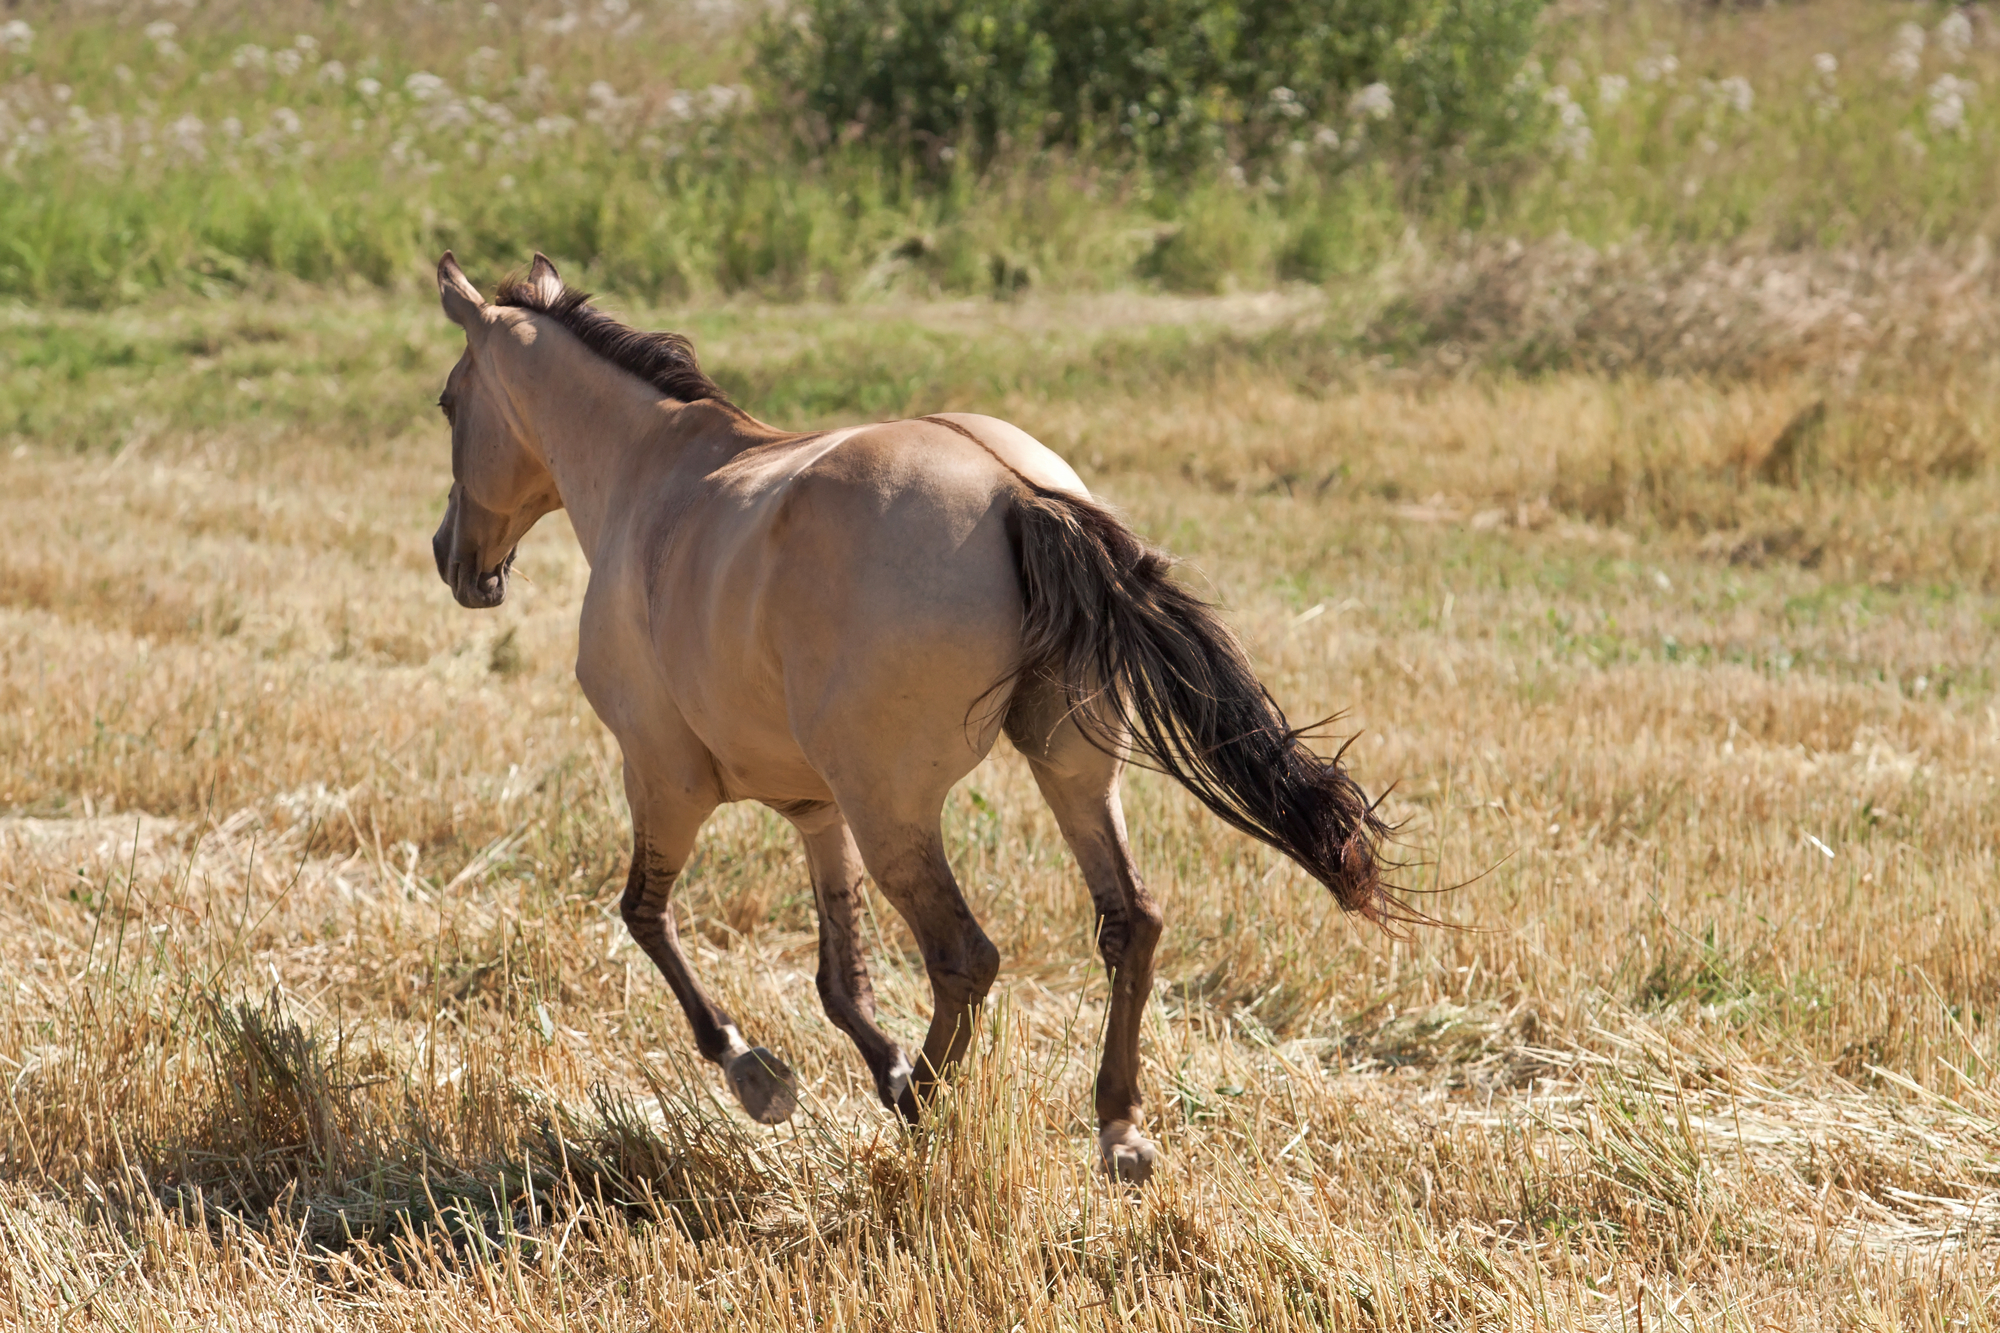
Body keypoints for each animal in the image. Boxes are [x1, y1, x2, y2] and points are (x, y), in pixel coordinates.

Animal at [429, 251, 1399, 1182]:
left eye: (447, 403)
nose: (452, 559)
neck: (651, 480)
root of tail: (1016, 492)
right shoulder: (815, 808)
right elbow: (838, 977)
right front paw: (875, 1063)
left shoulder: (664, 777)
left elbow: (646, 915)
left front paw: (760, 1074)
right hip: (1071, 768)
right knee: (1131, 918)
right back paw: (1117, 1129)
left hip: (894, 809)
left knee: (964, 955)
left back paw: (922, 1111)